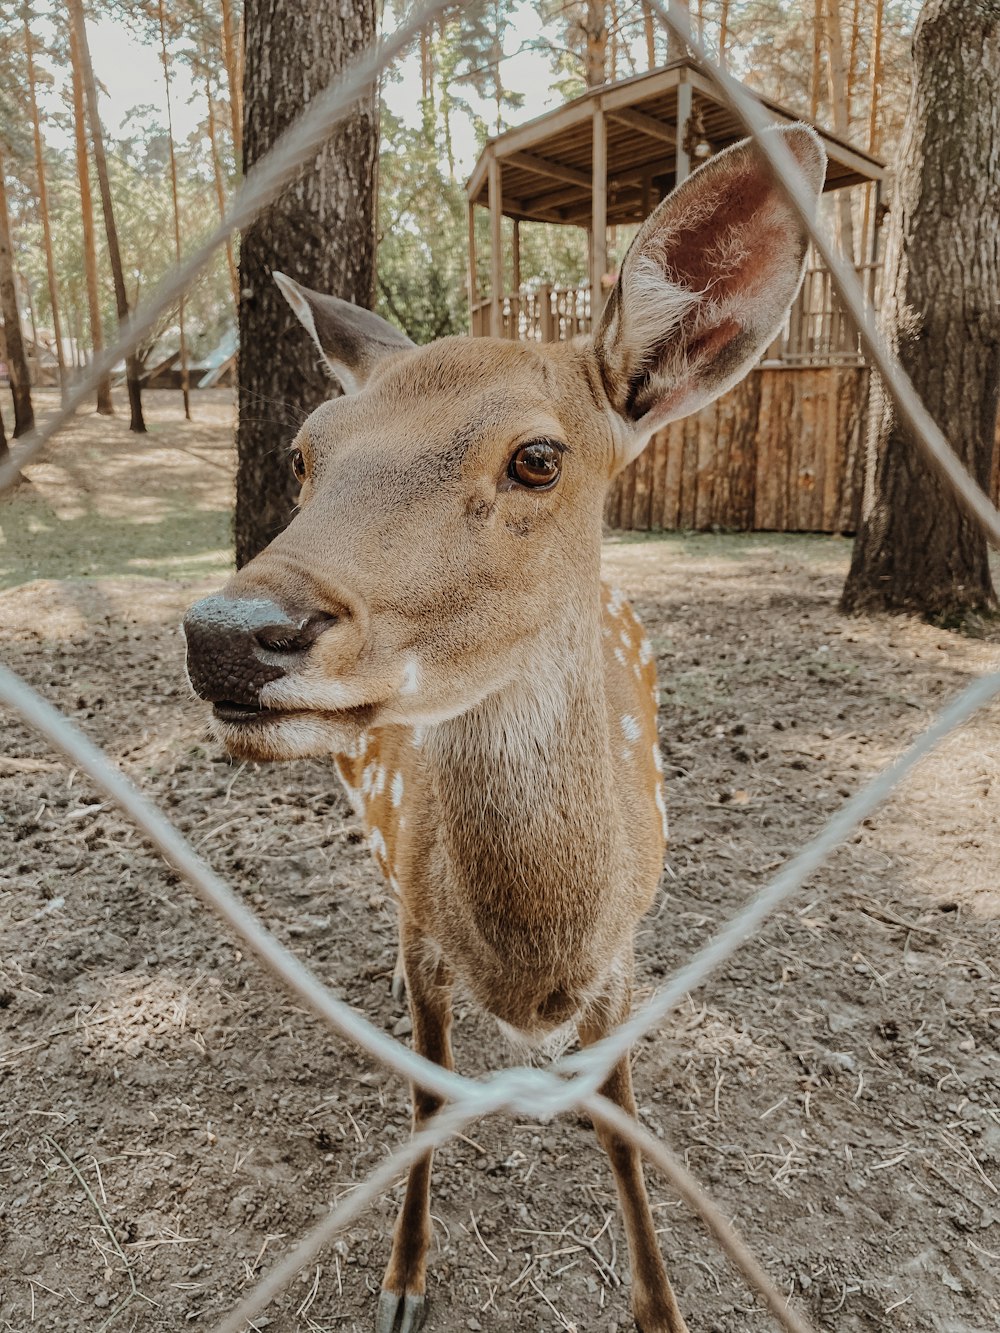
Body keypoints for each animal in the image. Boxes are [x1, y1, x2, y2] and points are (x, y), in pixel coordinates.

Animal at [184, 127, 826, 1333]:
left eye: (539, 456)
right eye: (302, 455)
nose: (227, 636)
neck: (536, 961)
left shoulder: (626, 951)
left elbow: (623, 1124)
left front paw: (660, 1304)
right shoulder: (424, 925)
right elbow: (426, 1099)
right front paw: (403, 1279)